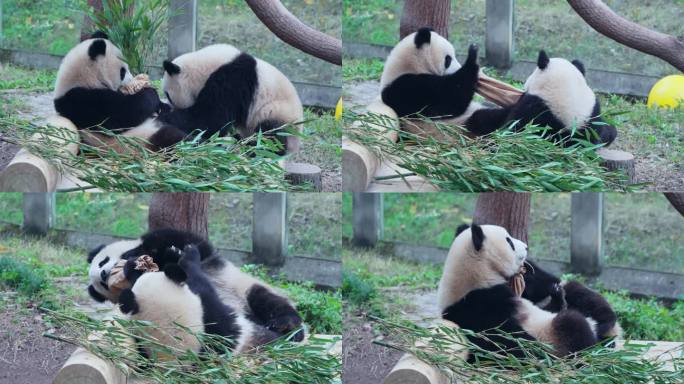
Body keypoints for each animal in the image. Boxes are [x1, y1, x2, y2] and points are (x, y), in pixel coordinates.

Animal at [53, 31, 187, 150]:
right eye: (122, 71)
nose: (131, 78)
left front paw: (162, 105)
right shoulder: (83, 101)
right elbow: (125, 113)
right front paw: (150, 92)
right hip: (142, 139)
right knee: (169, 137)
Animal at [87, 226, 304, 340]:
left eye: (102, 261)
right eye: (103, 283)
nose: (104, 273)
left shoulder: (201, 251)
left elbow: (179, 240)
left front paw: (160, 253)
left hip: (245, 289)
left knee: (270, 302)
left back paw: (287, 326)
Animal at [160, 43, 304, 154]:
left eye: (168, 95)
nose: (169, 106)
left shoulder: (232, 81)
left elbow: (210, 119)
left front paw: (167, 117)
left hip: (279, 114)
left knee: (271, 135)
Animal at [438, 224, 620, 358]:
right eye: (509, 242)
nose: (526, 247)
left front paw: (557, 294)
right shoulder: (479, 306)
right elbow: (505, 339)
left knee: (580, 294)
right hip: (556, 335)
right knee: (573, 324)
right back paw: (596, 346)